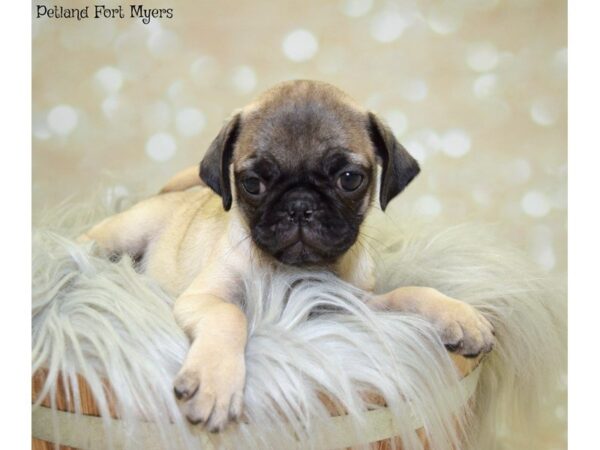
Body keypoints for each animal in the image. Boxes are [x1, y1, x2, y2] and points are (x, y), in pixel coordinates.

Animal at [79, 81, 494, 432]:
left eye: (349, 179)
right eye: (252, 184)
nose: (299, 205)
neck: (292, 270)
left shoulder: (352, 305)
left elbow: (408, 292)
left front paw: (458, 315)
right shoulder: (203, 297)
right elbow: (230, 316)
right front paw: (215, 383)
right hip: (124, 232)